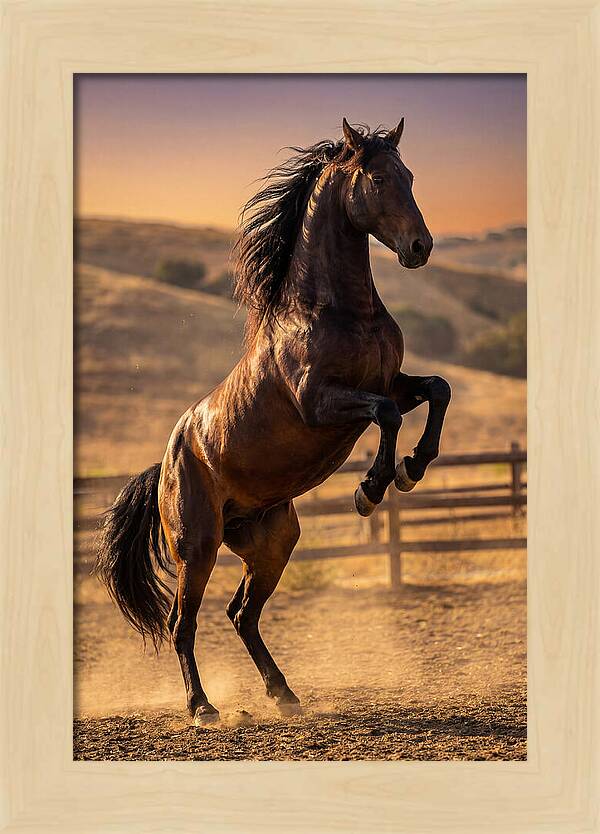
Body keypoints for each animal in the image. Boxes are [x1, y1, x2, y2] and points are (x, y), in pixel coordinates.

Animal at [95, 118, 451, 724]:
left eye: (409, 176)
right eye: (378, 179)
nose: (420, 247)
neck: (335, 310)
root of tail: (166, 463)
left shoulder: (391, 383)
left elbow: (437, 391)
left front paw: (412, 469)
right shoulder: (321, 402)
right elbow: (384, 416)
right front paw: (370, 489)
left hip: (272, 540)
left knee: (242, 614)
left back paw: (284, 694)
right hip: (198, 546)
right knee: (183, 624)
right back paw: (203, 708)